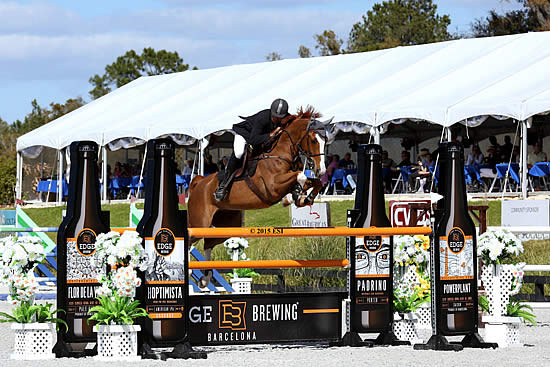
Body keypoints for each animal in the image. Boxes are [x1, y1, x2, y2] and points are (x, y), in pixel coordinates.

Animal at [188, 108, 330, 288]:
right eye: (312, 140)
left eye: (326, 140)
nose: (321, 170)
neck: (280, 153)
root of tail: (199, 183)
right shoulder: (272, 186)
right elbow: (300, 175)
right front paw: (293, 197)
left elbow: (313, 182)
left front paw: (303, 198)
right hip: (200, 223)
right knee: (191, 239)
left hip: (226, 224)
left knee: (208, 243)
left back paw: (205, 278)